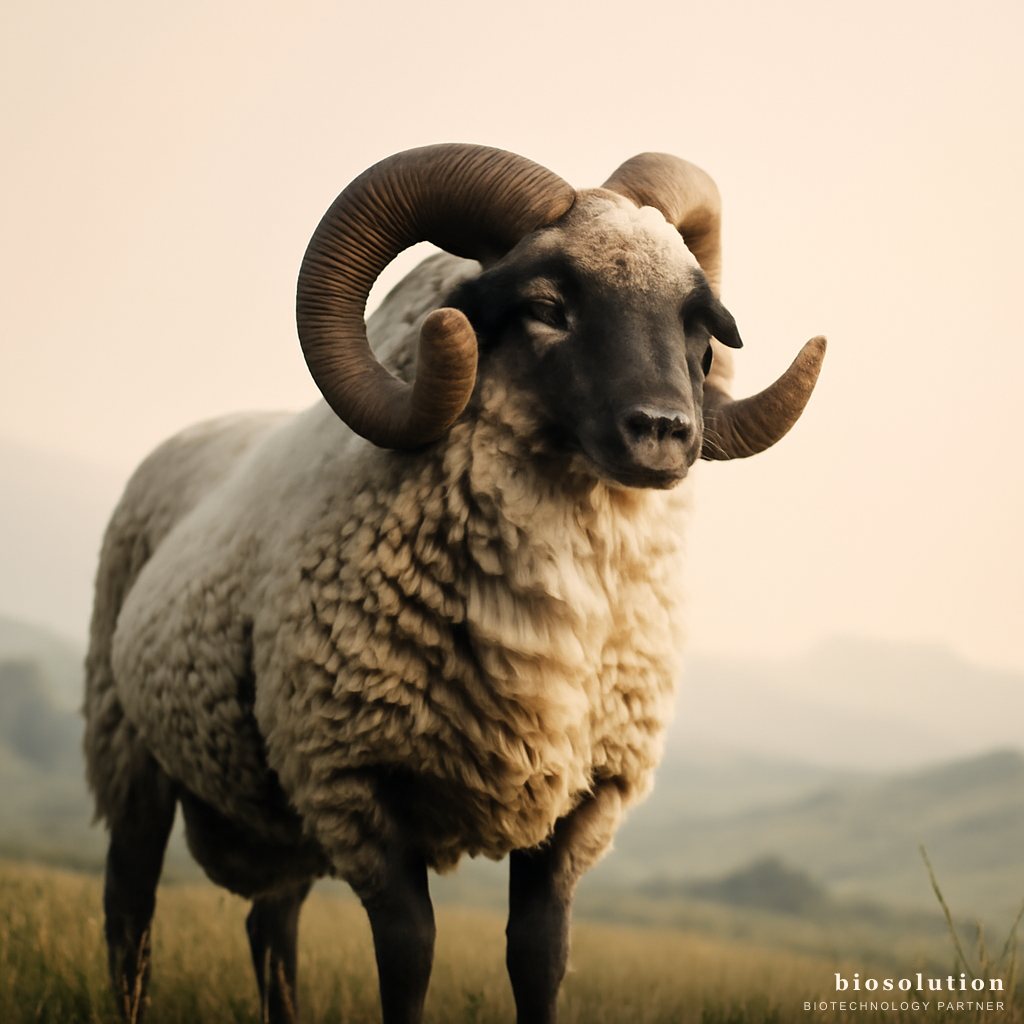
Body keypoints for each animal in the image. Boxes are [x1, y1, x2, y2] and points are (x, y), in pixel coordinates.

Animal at [84, 143, 825, 1024]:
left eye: (697, 321)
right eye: (545, 306)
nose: (666, 433)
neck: (545, 622)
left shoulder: (585, 804)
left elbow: (540, 957)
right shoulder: (351, 781)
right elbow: (411, 957)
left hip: (279, 813)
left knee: (272, 927)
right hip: (126, 746)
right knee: (130, 915)